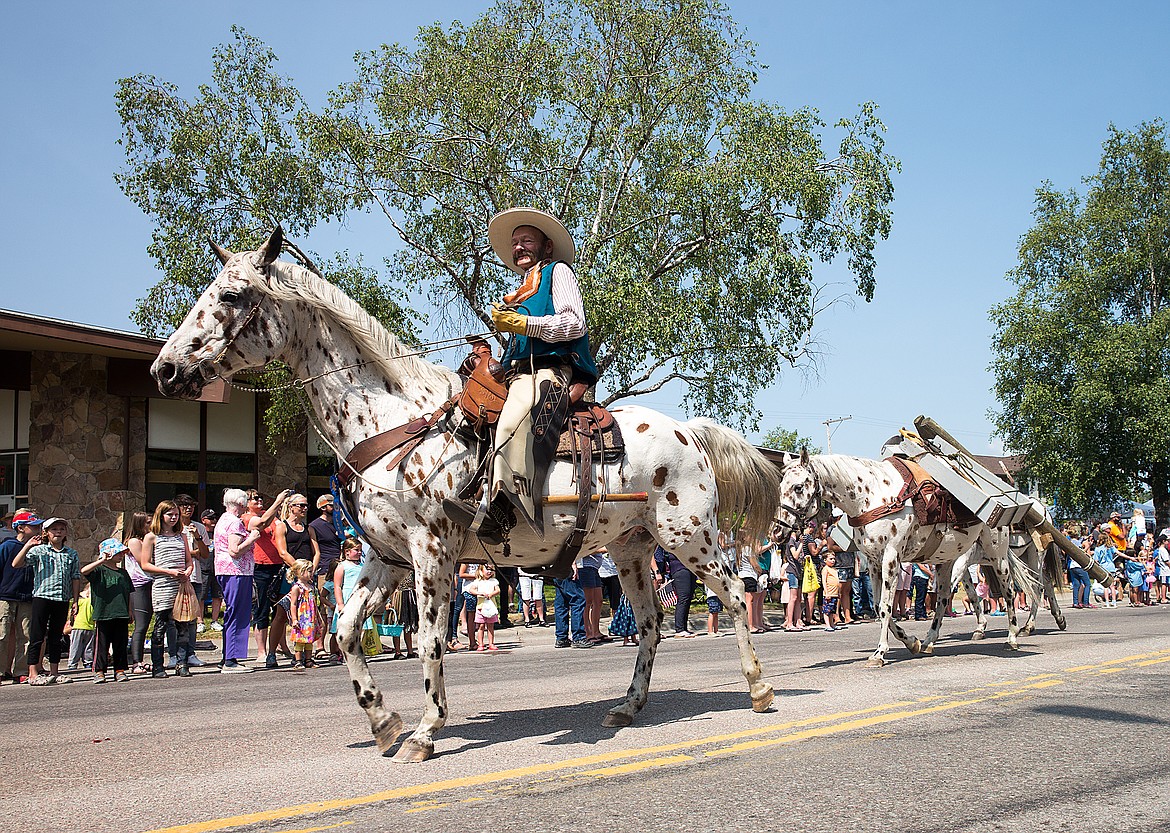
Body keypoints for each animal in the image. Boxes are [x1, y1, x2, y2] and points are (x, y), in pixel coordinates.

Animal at [150, 228, 781, 762]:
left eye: (232, 295)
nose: (165, 370)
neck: (394, 422)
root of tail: (688, 432)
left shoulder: (433, 553)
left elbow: (430, 640)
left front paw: (425, 732)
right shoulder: (386, 557)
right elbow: (347, 630)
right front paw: (383, 722)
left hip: (691, 538)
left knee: (732, 597)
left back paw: (759, 689)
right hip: (630, 550)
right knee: (649, 624)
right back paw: (627, 706)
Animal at [776, 451, 1034, 669]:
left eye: (798, 487)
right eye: (780, 486)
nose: (777, 531)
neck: (871, 495)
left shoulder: (891, 557)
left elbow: (884, 606)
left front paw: (880, 653)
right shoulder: (873, 562)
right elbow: (880, 606)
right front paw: (912, 642)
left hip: (997, 553)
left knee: (1009, 591)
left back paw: (1012, 637)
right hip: (947, 559)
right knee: (943, 597)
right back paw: (929, 640)